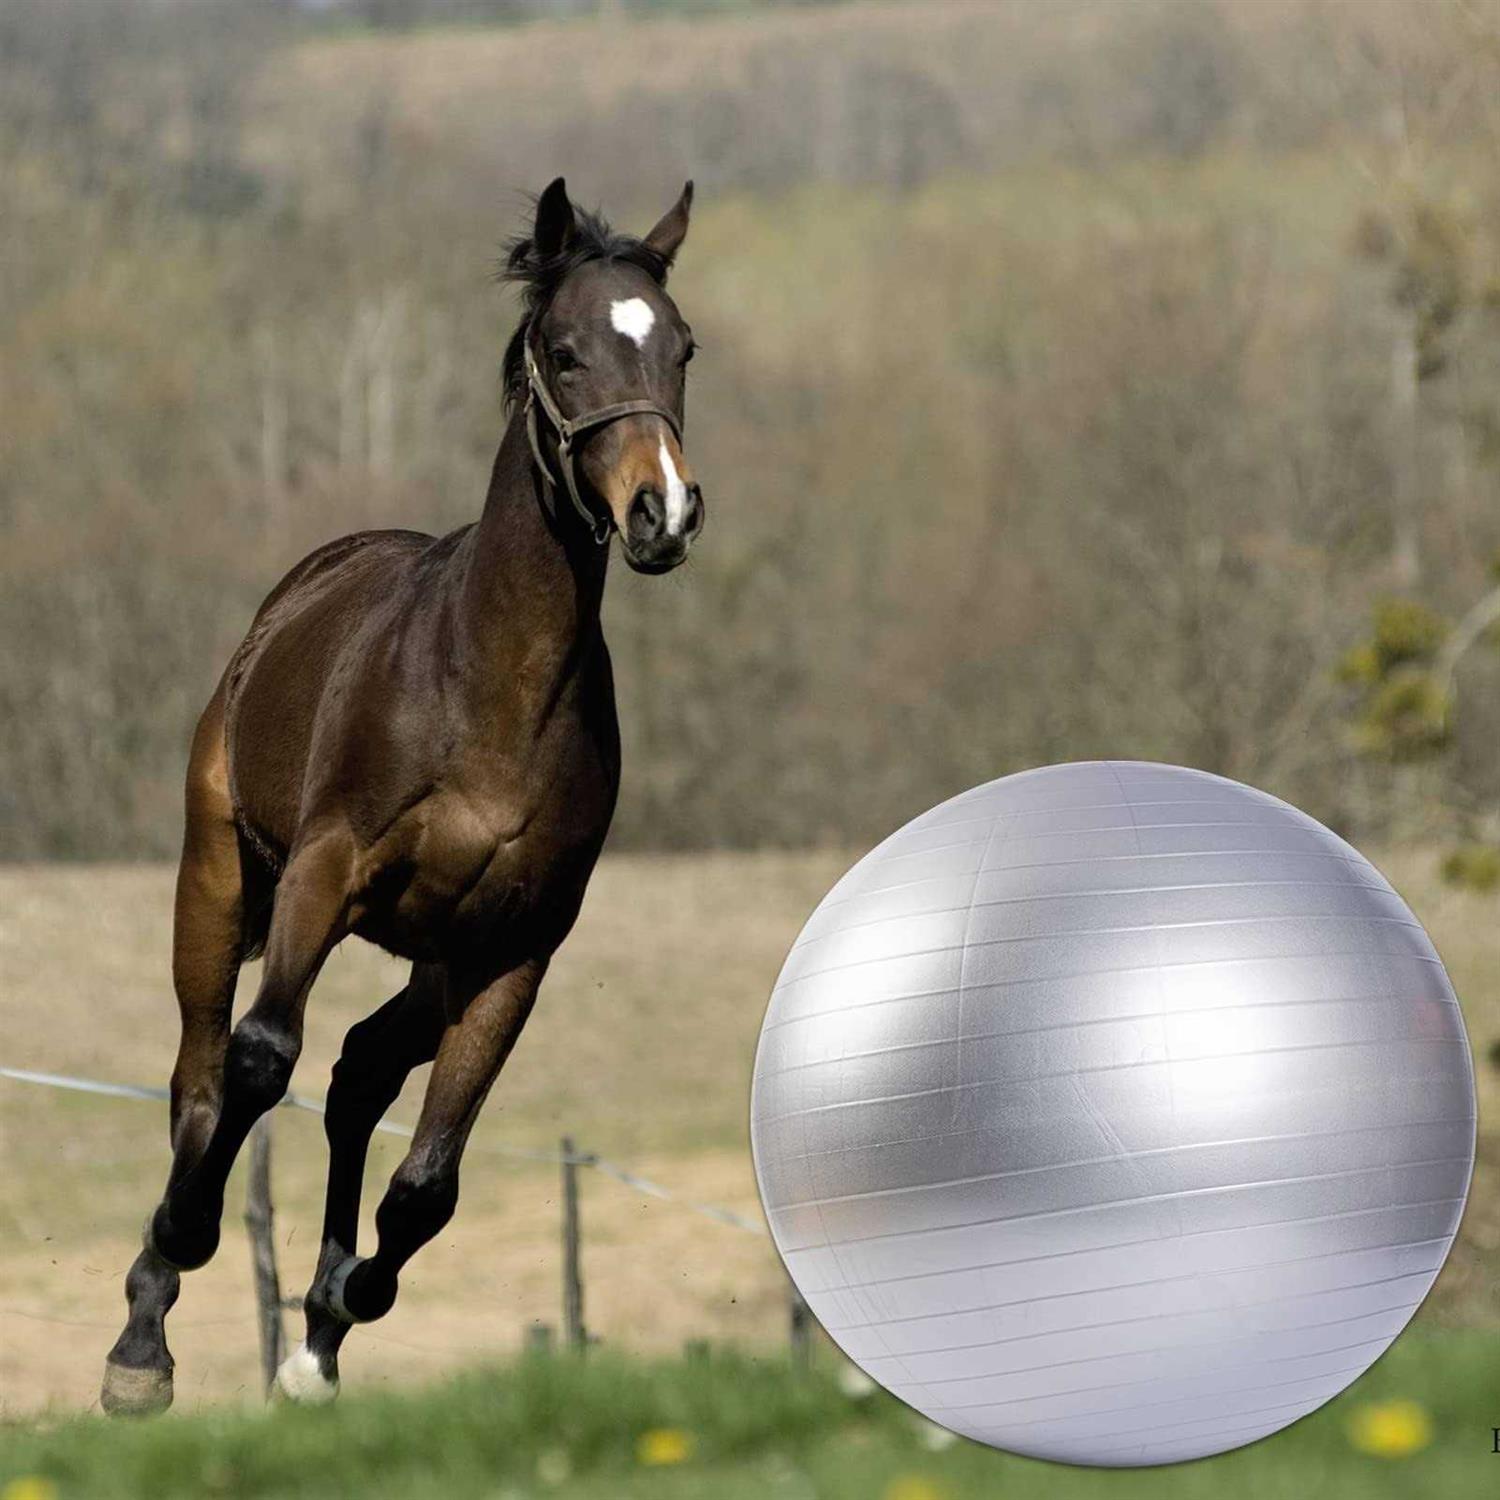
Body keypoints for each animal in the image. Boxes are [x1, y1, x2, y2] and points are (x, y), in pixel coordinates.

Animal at [101, 178, 705, 1414]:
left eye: (682, 347)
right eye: (565, 353)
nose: (662, 513)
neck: (489, 689)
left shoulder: (513, 949)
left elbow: (428, 1183)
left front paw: (331, 1319)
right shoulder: (323, 876)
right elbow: (258, 1057)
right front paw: (176, 1272)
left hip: (430, 959)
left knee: (359, 1073)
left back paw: (317, 1339)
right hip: (218, 876)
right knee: (205, 1072)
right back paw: (147, 1331)